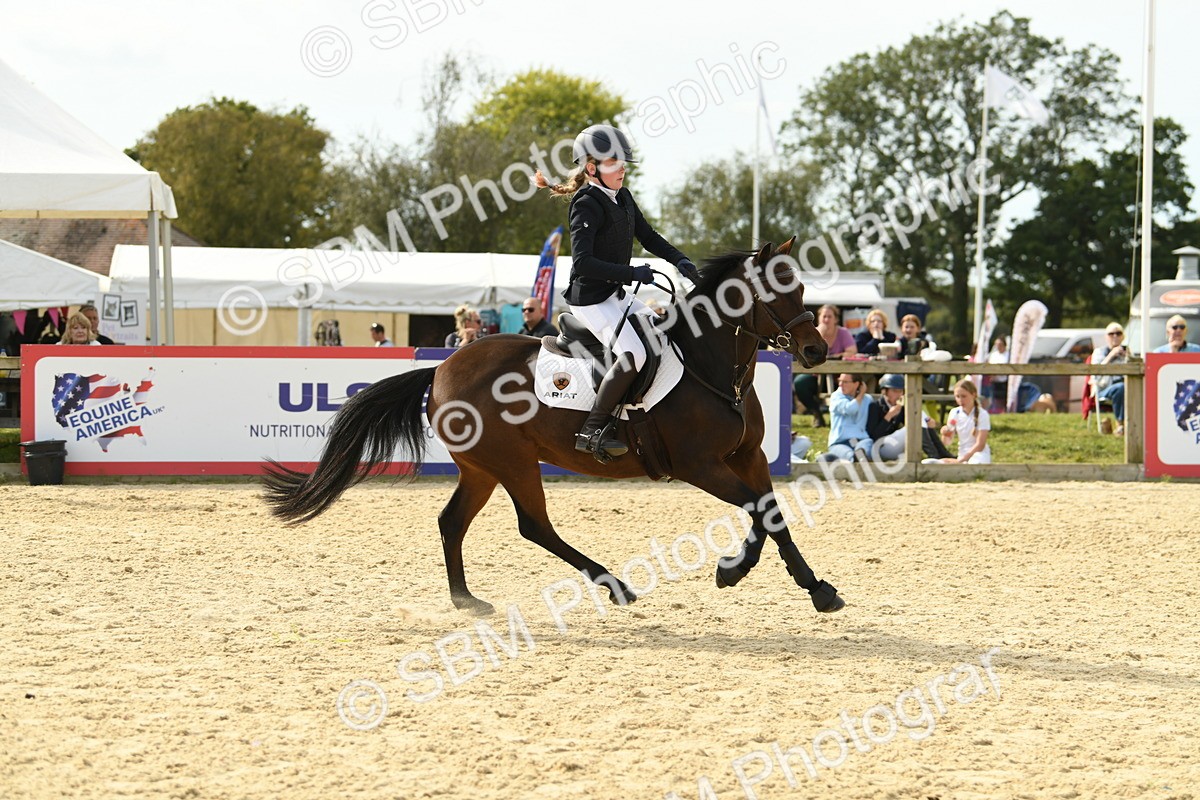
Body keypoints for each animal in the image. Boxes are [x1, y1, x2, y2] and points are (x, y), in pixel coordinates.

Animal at [263, 238, 844, 617]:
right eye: (778, 290)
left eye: (802, 287)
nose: (817, 351)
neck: (709, 364)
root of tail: (442, 368)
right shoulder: (699, 465)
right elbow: (759, 512)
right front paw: (743, 572)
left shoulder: (747, 457)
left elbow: (770, 513)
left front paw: (800, 583)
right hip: (512, 461)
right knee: (533, 525)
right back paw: (614, 585)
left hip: (483, 467)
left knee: (454, 522)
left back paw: (467, 600)